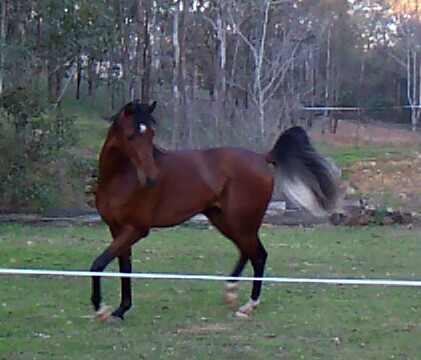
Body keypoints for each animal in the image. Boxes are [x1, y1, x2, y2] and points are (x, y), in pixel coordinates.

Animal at [90, 99, 340, 320]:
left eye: (151, 134)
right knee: (247, 251)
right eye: (130, 135)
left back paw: (248, 306)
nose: (151, 178)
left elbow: (99, 263)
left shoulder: (136, 229)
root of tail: (262, 158)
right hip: (224, 219)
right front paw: (121, 310)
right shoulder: (118, 229)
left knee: (259, 255)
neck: (119, 179)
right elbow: (124, 267)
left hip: (242, 221)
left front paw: (101, 309)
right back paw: (230, 292)